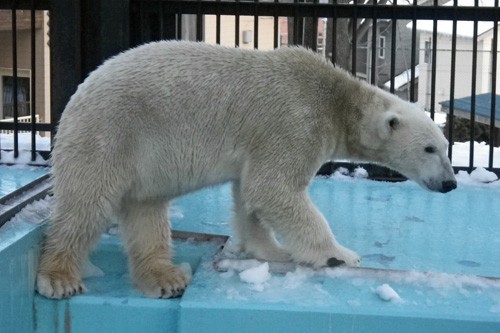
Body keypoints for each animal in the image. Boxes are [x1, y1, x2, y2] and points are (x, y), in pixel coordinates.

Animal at [37, 40, 456, 296]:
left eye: (446, 147)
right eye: (429, 148)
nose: (450, 183)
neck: (336, 98)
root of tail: (76, 97)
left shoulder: (262, 142)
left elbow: (250, 195)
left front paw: (269, 251)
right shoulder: (294, 120)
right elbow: (274, 188)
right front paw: (339, 255)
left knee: (146, 211)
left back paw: (165, 277)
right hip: (111, 134)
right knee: (87, 204)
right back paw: (59, 277)